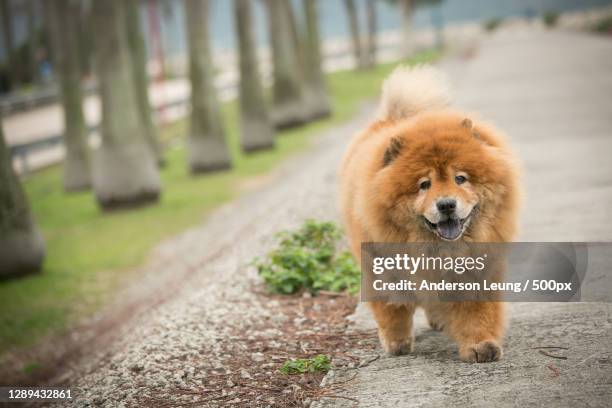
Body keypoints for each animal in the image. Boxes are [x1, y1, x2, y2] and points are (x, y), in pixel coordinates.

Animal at [340, 64, 520, 364]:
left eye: (460, 178)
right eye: (424, 184)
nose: (446, 204)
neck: (437, 249)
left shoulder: (477, 269)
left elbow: (477, 311)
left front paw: (481, 345)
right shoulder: (381, 268)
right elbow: (393, 311)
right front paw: (397, 342)